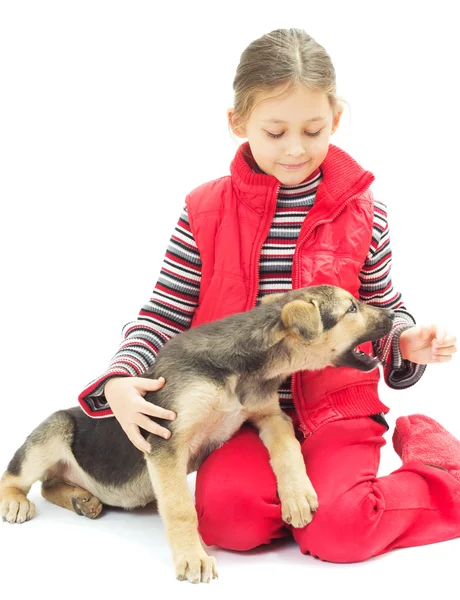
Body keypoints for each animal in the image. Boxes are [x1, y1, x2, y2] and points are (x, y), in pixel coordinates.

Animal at [0, 284, 396, 580]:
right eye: (351, 308)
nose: (395, 315)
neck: (246, 367)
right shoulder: (165, 440)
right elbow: (180, 509)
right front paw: (193, 558)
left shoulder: (270, 416)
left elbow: (288, 450)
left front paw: (297, 496)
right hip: (54, 431)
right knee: (17, 477)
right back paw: (17, 502)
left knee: (50, 484)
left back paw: (83, 499)